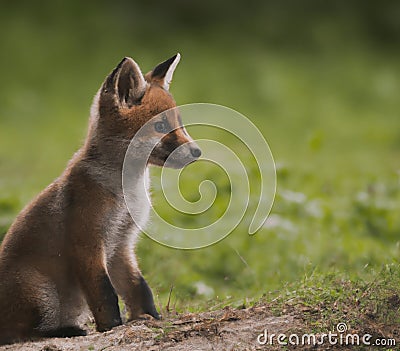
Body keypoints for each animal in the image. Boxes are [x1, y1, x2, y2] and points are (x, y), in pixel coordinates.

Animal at [0, 53, 202, 346]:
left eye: (179, 123)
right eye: (160, 126)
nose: (198, 151)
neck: (127, 194)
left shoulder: (121, 245)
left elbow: (138, 287)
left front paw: (150, 318)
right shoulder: (88, 243)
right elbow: (105, 293)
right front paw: (111, 327)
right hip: (40, 293)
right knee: (19, 334)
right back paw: (67, 331)